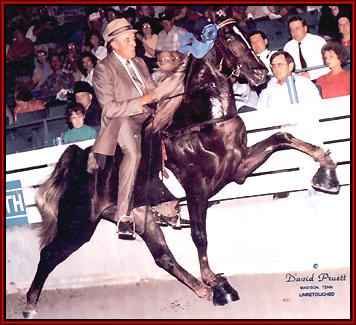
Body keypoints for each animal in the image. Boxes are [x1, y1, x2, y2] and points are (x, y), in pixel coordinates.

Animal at [23, 19, 340, 316]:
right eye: (229, 39)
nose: (261, 73)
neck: (202, 124)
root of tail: (78, 163)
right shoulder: (196, 188)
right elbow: (200, 236)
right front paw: (214, 279)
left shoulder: (238, 168)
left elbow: (282, 137)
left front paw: (327, 173)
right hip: (77, 226)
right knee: (49, 254)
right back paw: (29, 304)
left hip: (140, 217)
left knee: (163, 257)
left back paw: (202, 290)